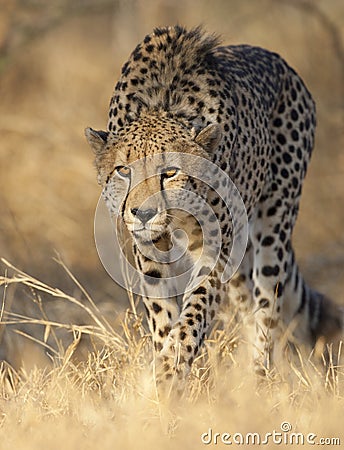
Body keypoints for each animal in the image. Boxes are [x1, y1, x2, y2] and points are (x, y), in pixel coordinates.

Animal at [85, 24, 342, 384]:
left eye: (170, 172)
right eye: (124, 170)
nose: (144, 213)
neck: (161, 104)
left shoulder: (216, 246)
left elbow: (195, 311)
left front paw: (172, 370)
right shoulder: (149, 250)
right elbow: (163, 314)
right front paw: (165, 373)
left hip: (273, 222)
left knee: (267, 305)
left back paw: (257, 378)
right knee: (247, 304)